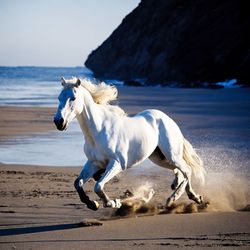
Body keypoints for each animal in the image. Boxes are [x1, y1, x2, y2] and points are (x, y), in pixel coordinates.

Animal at [53, 77, 204, 211]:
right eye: (59, 98)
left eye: (73, 98)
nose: (58, 122)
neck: (99, 130)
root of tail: (166, 118)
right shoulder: (94, 163)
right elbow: (78, 183)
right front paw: (93, 204)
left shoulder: (117, 163)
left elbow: (98, 186)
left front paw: (113, 203)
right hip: (159, 157)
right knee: (180, 171)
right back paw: (191, 195)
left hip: (172, 154)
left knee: (187, 170)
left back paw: (174, 199)